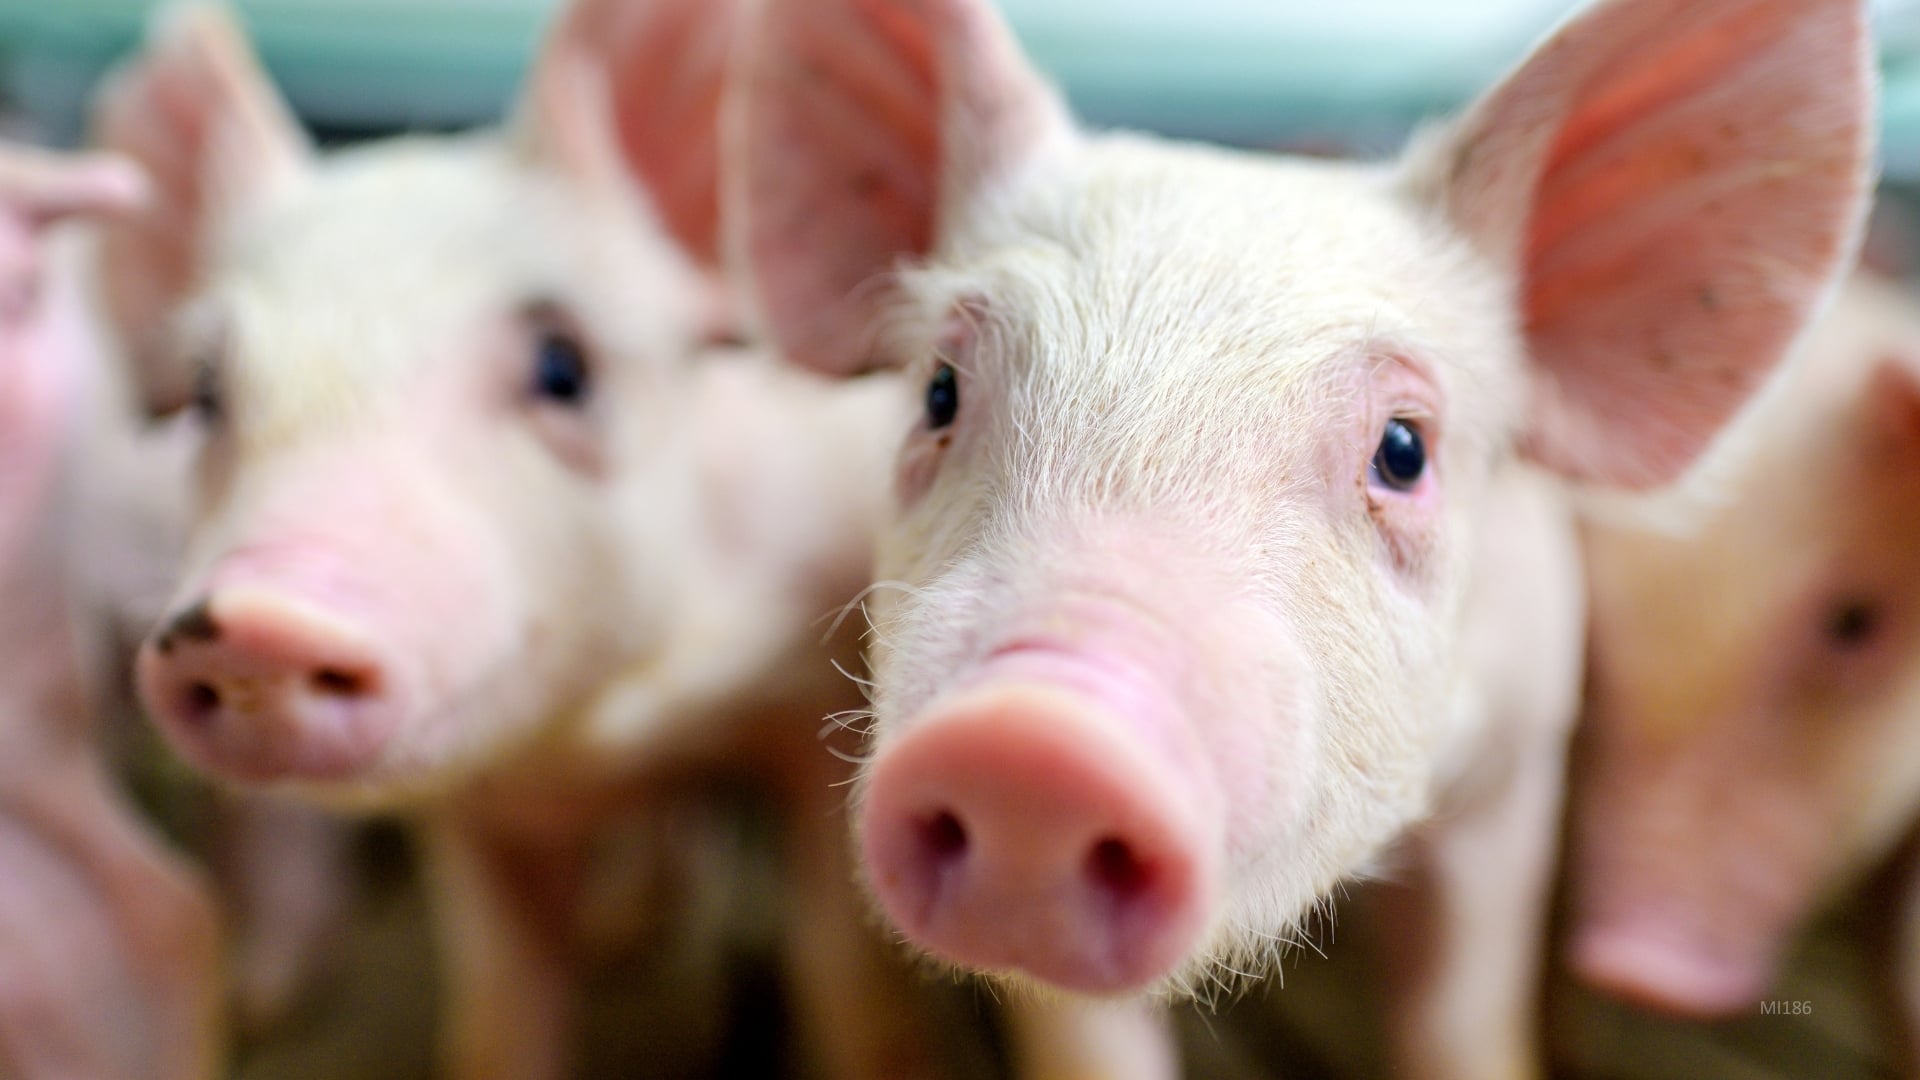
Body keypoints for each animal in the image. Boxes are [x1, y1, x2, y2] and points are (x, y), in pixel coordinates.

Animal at [92, 3, 950, 1078]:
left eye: (562, 366)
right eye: (207, 393)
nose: (250, 622)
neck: (594, 742)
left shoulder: (806, 707)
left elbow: (845, 977)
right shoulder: (472, 819)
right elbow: (500, 1005)